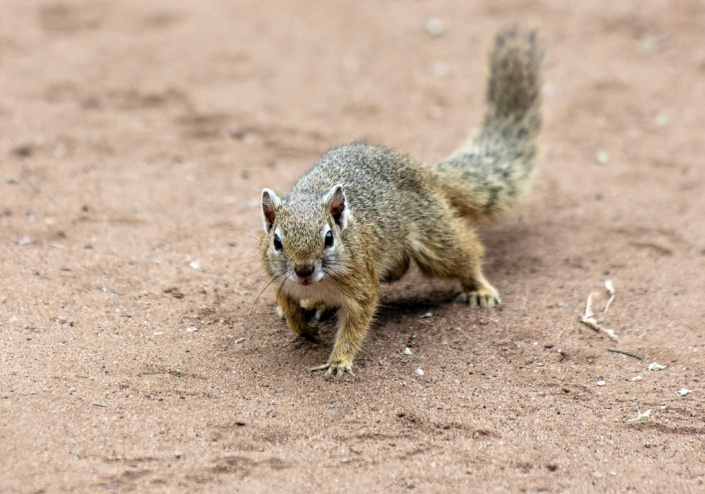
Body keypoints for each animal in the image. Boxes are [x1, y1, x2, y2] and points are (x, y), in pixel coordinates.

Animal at [259, 27, 542, 377]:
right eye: (277, 242)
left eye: (329, 238)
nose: (303, 270)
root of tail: (421, 170)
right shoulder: (277, 278)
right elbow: (288, 306)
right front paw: (301, 325)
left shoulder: (361, 285)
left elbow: (356, 324)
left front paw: (339, 361)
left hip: (434, 239)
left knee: (465, 254)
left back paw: (480, 288)